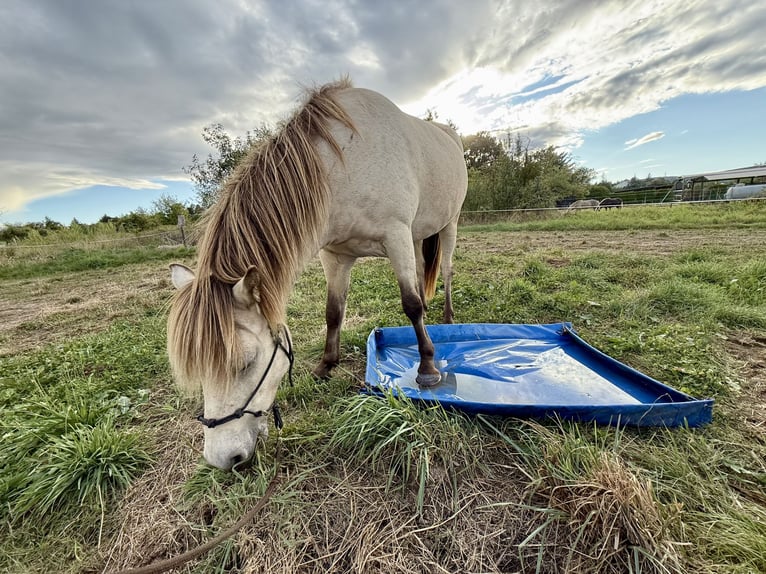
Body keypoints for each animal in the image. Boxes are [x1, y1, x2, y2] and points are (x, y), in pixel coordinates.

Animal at [167, 79, 468, 469]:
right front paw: (326, 365)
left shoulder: (396, 235)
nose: (223, 458)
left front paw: (428, 368)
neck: (342, 167)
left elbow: (410, 305)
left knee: (444, 272)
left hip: (449, 225)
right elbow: (334, 312)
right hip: (419, 235)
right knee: (420, 274)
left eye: (246, 362)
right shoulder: (336, 256)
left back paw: (446, 319)